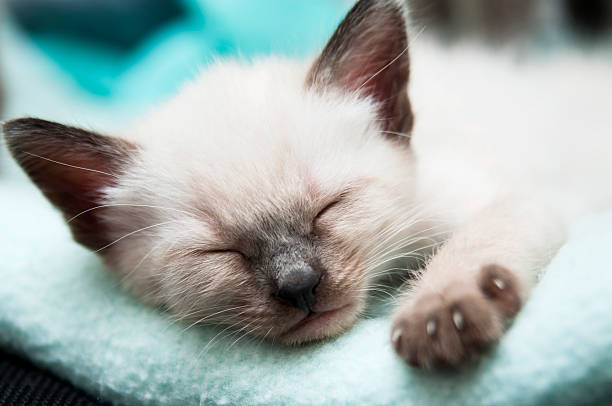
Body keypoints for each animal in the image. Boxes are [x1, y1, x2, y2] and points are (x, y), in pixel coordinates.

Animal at [2, 0, 608, 372]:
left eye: (328, 209)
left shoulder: (515, 199)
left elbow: (477, 241)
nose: (299, 286)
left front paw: (442, 314)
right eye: (219, 252)